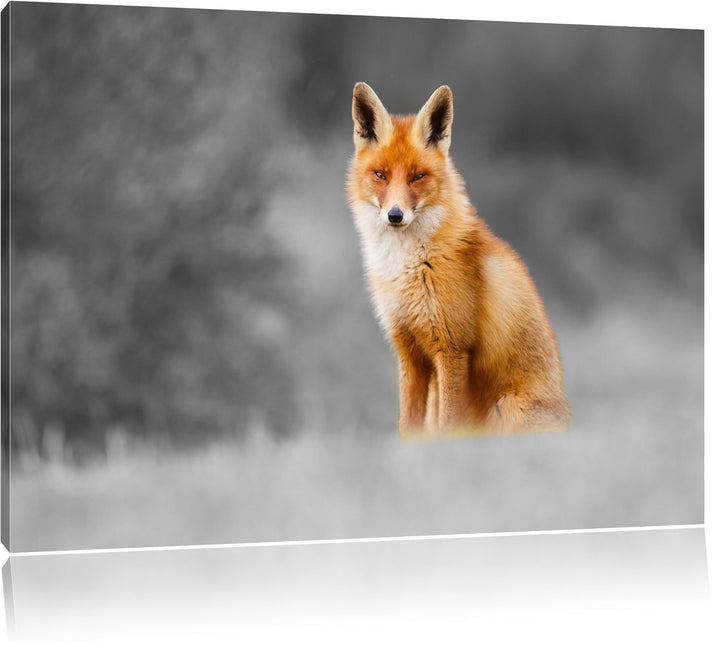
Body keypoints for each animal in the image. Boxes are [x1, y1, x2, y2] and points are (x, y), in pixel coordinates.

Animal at [346, 82, 571, 436]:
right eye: (380, 175)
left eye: (417, 177)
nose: (395, 215)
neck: (408, 267)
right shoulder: (409, 351)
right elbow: (407, 428)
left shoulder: (452, 349)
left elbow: (447, 428)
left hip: (505, 410)